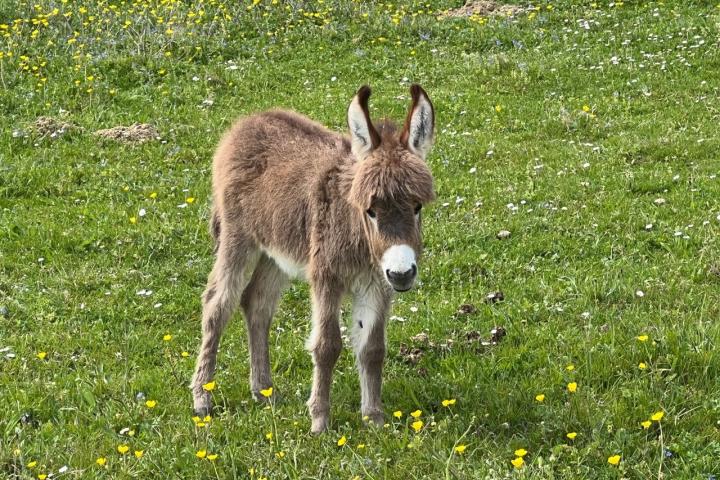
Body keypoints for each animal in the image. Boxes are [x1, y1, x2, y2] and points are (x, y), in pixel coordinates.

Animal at [191, 84, 436, 434]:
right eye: (371, 211)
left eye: (417, 207)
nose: (402, 274)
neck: (355, 234)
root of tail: (250, 120)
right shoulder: (326, 276)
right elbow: (327, 345)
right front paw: (320, 421)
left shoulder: (375, 283)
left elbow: (372, 348)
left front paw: (373, 418)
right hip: (238, 239)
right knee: (217, 304)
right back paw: (202, 398)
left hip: (275, 252)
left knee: (256, 303)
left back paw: (263, 391)